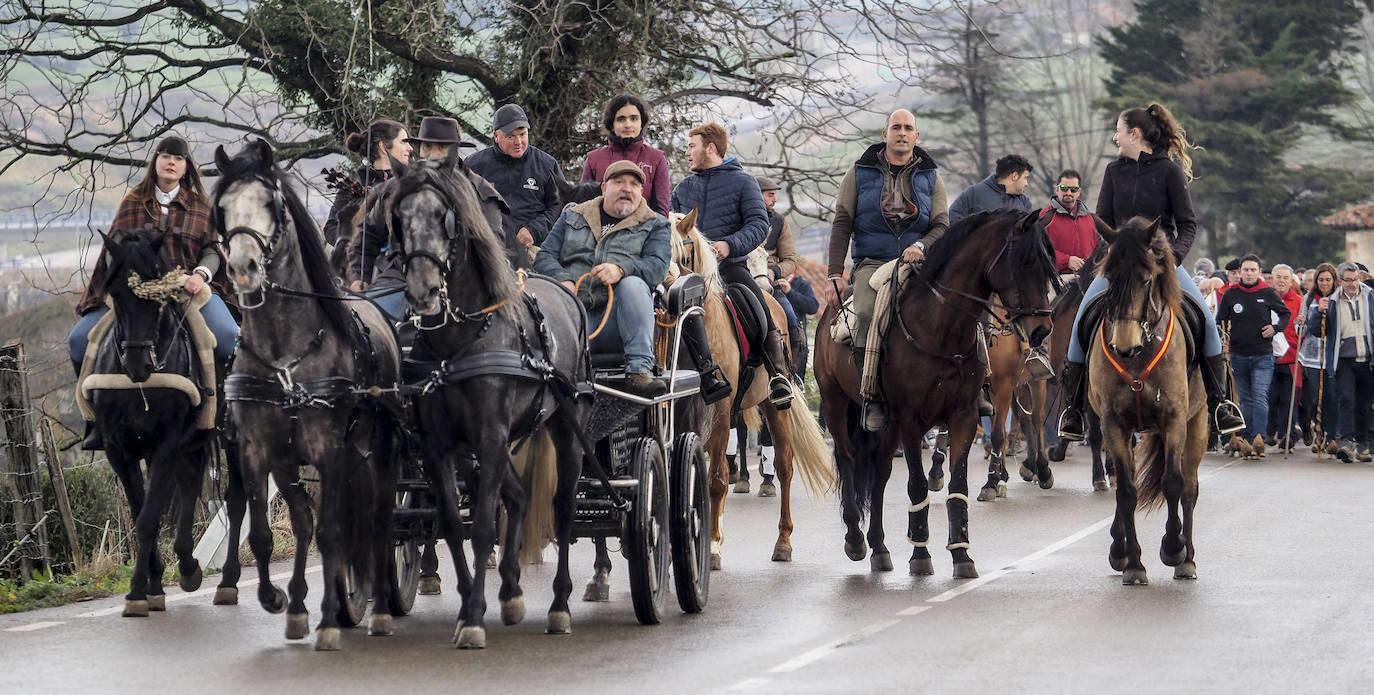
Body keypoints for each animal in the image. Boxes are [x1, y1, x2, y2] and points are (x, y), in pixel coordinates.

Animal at [210, 141, 401, 651]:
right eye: (222, 208)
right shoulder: (260, 453)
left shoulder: (329, 450)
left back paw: (381, 608)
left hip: (376, 451)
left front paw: (331, 618)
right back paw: (301, 604)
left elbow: (333, 532)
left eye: (271, 203)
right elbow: (267, 532)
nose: (242, 269)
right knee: (308, 519)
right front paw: (278, 600)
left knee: (379, 518)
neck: (286, 355)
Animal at [384, 149, 588, 648]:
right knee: (517, 497)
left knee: (563, 509)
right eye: (399, 217)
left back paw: (559, 604)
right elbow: (454, 526)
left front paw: (475, 616)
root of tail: (567, 292)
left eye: (445, 217)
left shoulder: (491, 435)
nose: (421, 291)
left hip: (566, 426)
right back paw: (512, 593)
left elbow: (481, 527)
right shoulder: (440, 446)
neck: (461, 339)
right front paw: (466, 610)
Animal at [667, 208, 829, 568]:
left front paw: (712, 546)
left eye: (684, 254)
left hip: (772, 404)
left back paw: (783, 541)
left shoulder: (719, 410)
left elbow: (715, 480)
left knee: (784, 465)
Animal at [813, 208, 1060, 579]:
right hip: (835, 403)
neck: (940, 328)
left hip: (886, 424)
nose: (1042, 329)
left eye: (1048, 267)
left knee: (880, 473)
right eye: (1026, 262)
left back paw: (880, 547)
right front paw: (920, 553)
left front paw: (961, 553)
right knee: (848, 459)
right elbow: (917, 483)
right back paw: (856, 539)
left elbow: (958, 485)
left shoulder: (964, 416)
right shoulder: (911, 421)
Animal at [1082, 217, 1203, 585]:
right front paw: (1133, 562)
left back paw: (1188, 559)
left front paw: (1174, 547)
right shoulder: (1114, 425)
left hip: (1198, 425)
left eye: (1147, 279)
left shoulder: (1175, 419)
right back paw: (1119, 549)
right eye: (1109, 278)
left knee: (1189, 488)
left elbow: (1173, 483)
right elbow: (1126, 492)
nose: (1124, 346)